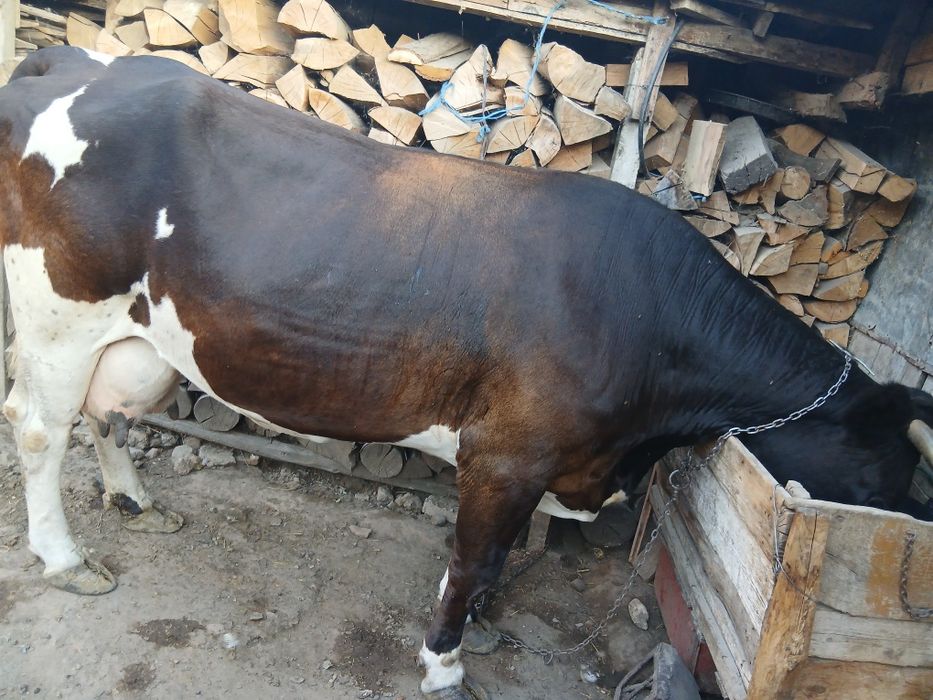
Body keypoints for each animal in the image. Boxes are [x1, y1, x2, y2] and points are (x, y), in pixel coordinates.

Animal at [1, 48, 931, 699]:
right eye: (887, 476)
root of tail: (81, 60)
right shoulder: (510, 452)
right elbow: (478, 559)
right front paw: (445, 662)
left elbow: (486, 560)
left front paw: (472, 631)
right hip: (54, 313)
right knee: (40, 429)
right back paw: (64, 557)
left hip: (136, 338)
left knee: (107, 414)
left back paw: (135, 502)